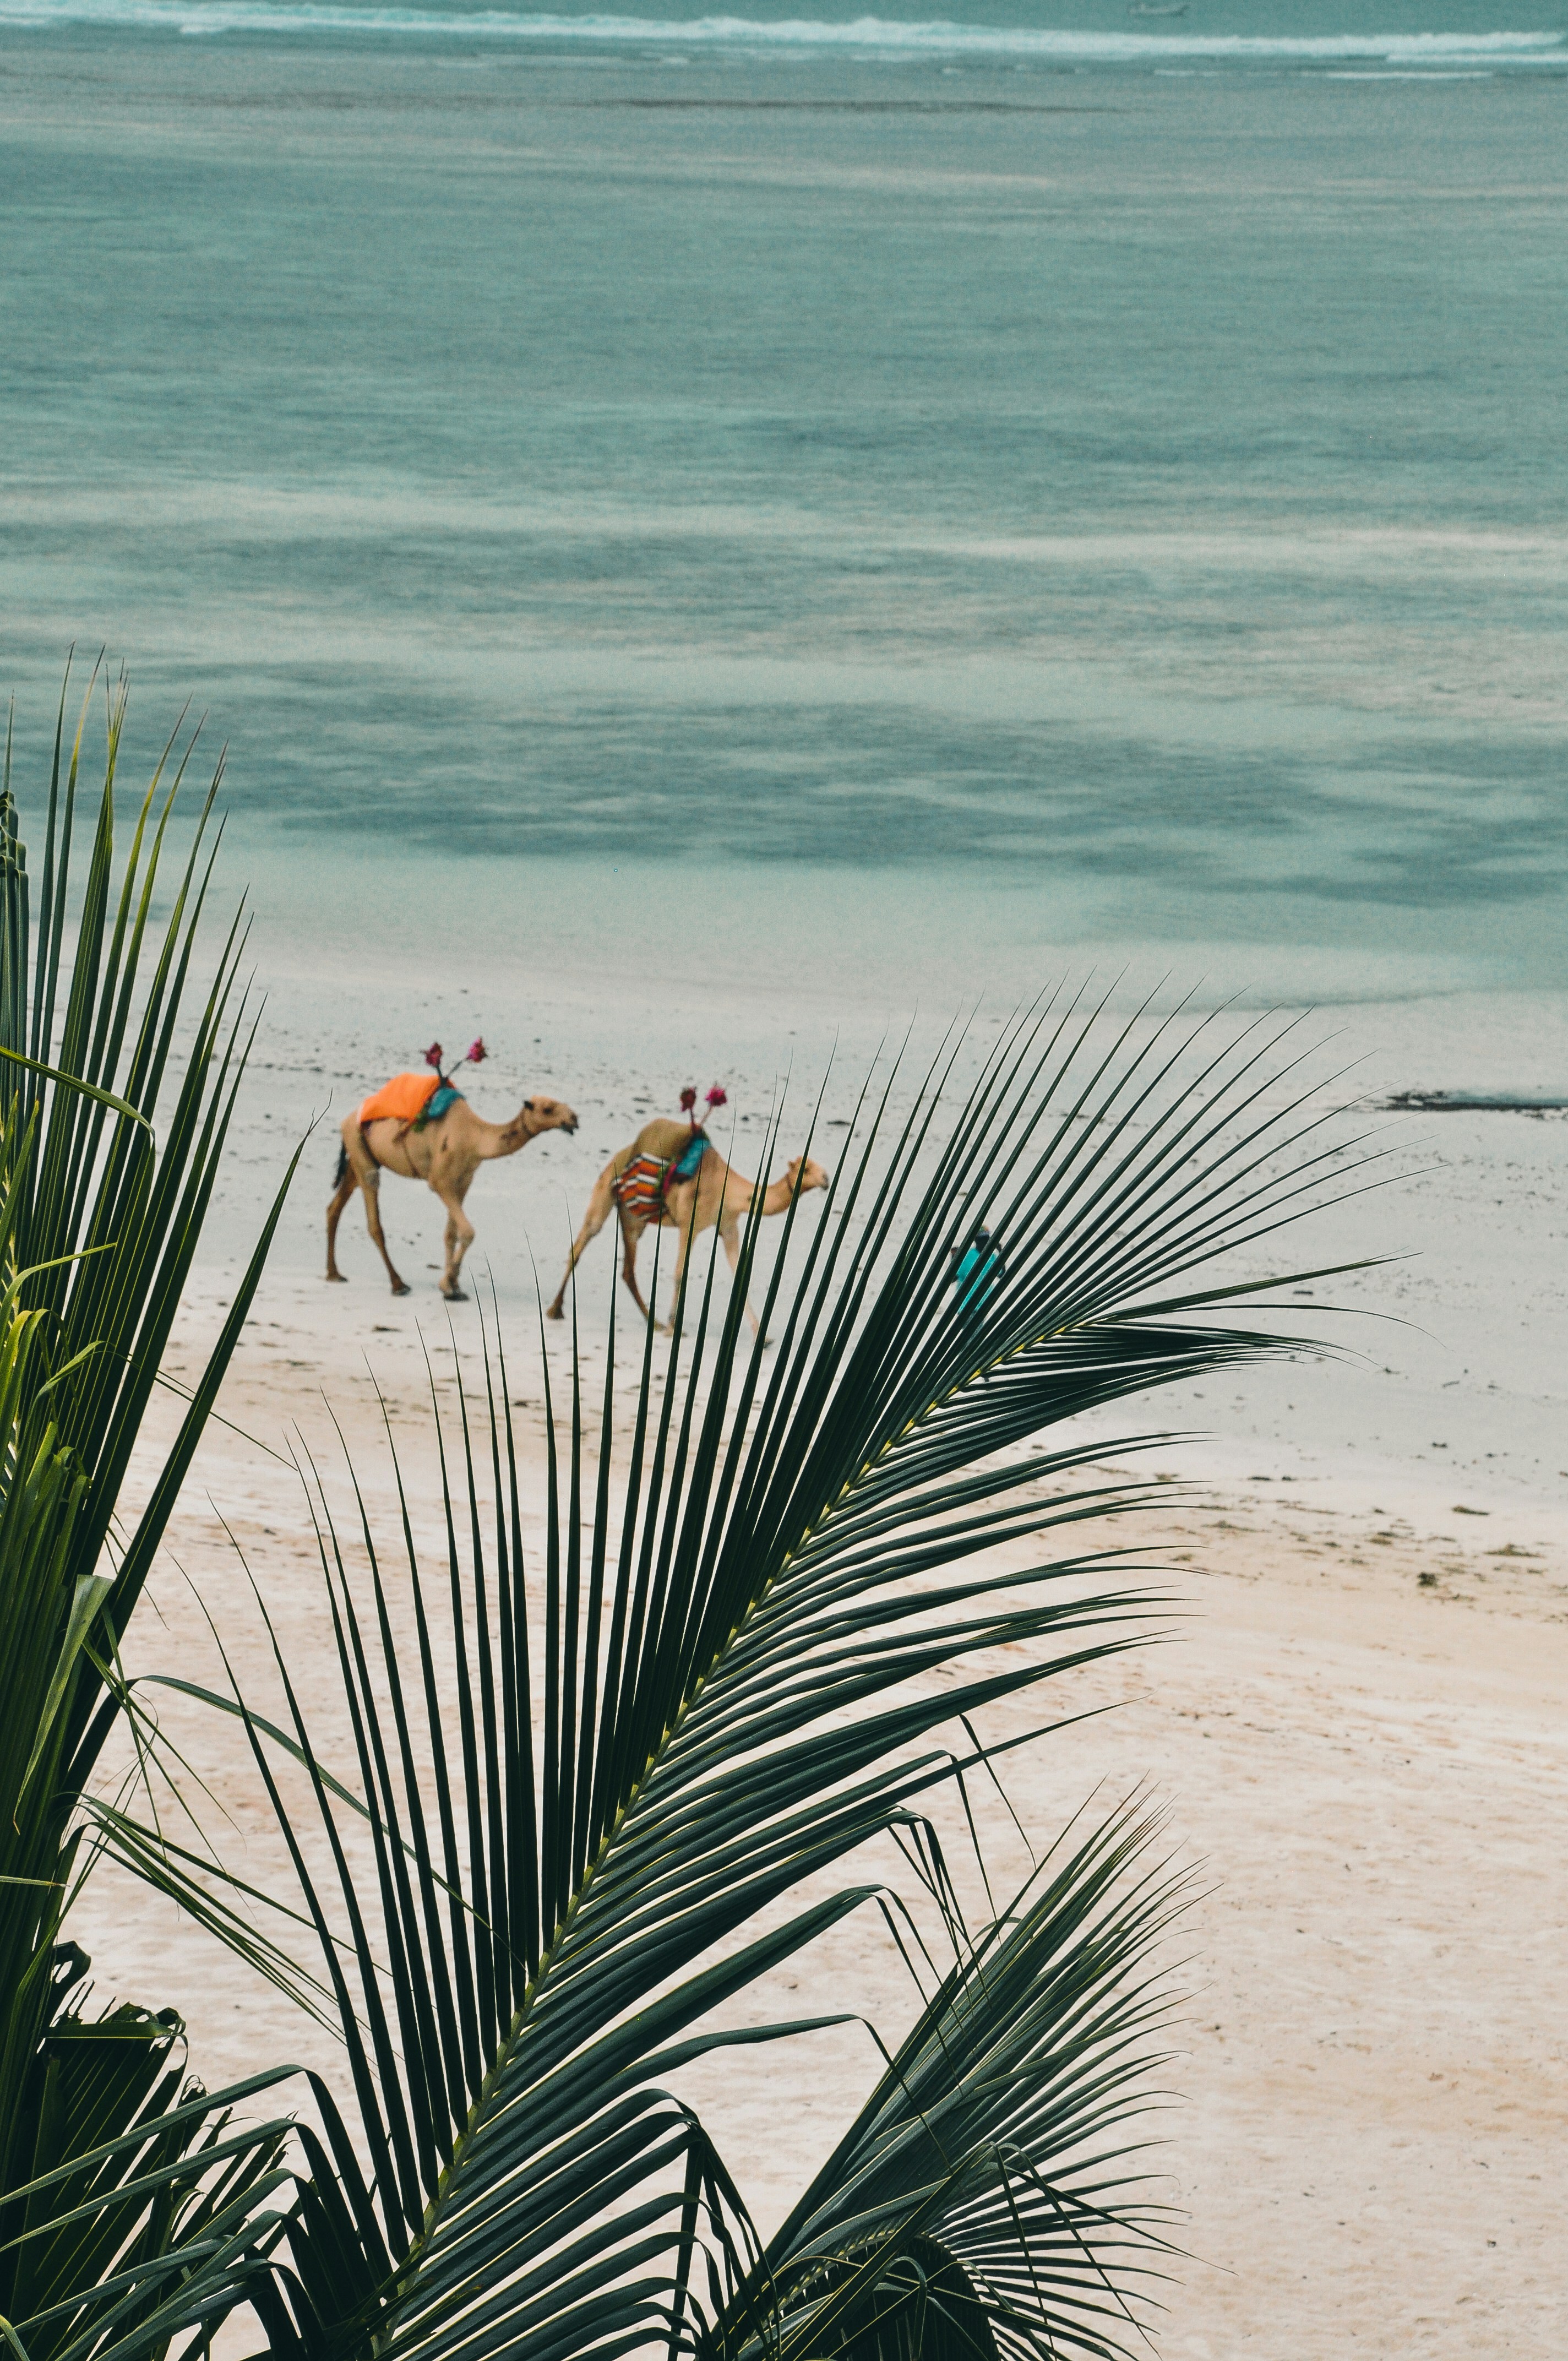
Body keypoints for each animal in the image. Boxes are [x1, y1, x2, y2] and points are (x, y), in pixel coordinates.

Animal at [326, 1088, 578, 1299]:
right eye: (548, 1109)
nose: (574, 1119)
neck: (475, 1138)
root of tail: (348, 1119)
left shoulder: (463, 1181)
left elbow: (451, 1234)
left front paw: (454, 1287)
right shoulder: (440, 1181)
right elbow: (467, 1232)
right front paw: (447, 1285)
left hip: (359, 1157)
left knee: (335, 1206)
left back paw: (334, 1273)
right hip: (359, 1148)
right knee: (373, 1213)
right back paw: (398, 1285)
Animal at [546, 1117, 830, 1334]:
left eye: (820, 1167)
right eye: (806, 1169)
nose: (827, 1179)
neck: (727, 1189)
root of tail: (622, 1154)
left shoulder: (728, 1225)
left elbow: (740, 1276)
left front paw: (763, 1334)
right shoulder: (689, 1224)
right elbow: (680, 1273)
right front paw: (674, 1326)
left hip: (633, 1218)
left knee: (627, 1269)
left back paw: (654, 1322)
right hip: (606, 1190)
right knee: (583, 1242)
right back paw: (555, 1310)